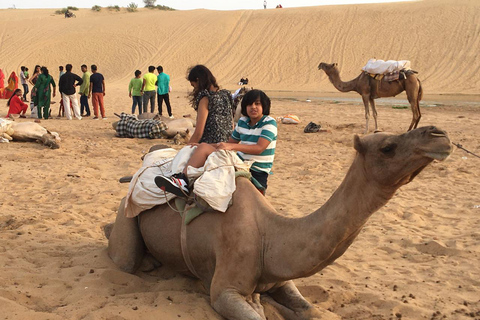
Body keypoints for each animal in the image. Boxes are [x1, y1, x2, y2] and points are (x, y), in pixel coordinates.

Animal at [104, 126, 450, 318]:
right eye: (387, 147)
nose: (440, 134)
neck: (269, 236)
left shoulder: (282, 279)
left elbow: (314, 311)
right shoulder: (224, 289)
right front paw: (260, 305)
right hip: (126, 217)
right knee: (124, 259)